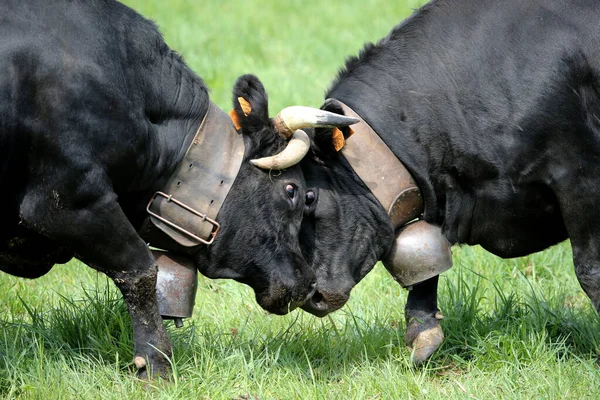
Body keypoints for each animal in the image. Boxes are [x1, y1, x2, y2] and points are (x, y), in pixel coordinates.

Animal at [294, 0, 600, 364]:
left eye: (309, 197)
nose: (309, 295)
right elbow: (421, 255)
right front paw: (423, 332)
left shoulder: (580, 174)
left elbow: (590, 271)